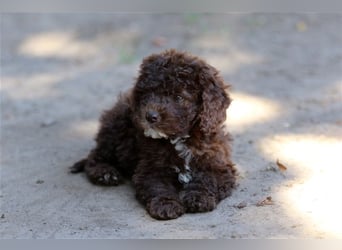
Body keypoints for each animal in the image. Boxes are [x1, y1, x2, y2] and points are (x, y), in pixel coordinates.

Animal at [71, 49, 236, 221]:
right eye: (148, 93)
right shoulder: (150, 167)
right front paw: (166, 205)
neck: (180, 139)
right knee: (95, 155)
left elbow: (208, 179)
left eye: (179, 97)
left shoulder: (218, 164)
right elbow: (157, 185)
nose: (150, 116)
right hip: (116, 128)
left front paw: (198, 197)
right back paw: (105, 173)